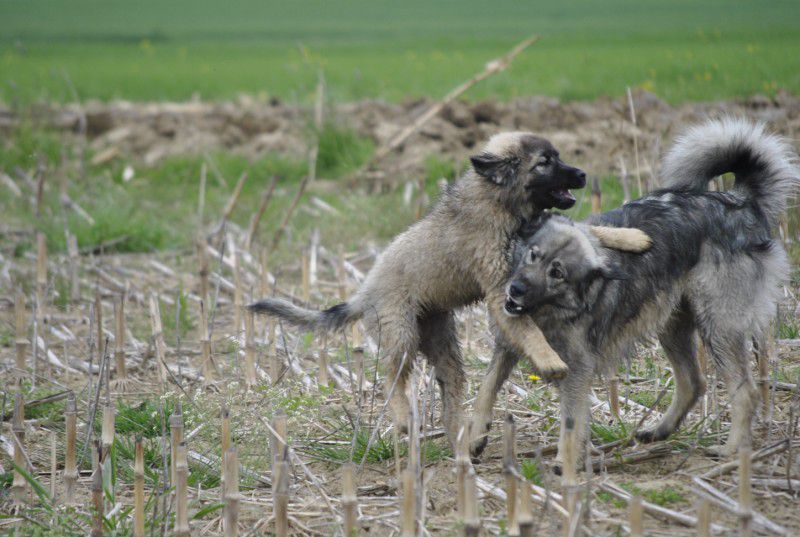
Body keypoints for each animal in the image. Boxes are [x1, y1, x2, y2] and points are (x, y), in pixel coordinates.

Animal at [248, 131, 648, 448]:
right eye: (544, 163)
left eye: (559, 156)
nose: (582, 174)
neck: (500, 202)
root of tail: (362, 294)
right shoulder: (500, 287)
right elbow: (528, 329)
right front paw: (549, 359)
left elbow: (590, 230)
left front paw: (633, 237)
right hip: (400, 331)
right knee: (392, 378)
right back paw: (405, 419)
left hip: (441, 339)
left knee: (450, 384)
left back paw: (459, 435)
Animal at [504, 116, 796, 464]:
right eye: (532, 256)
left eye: (557, 272)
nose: (515, 289)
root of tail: (740, 203)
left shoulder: (578, 368)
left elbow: (572, 423)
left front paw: (564, 464)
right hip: (673, 323)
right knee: (693, 382)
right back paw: (659, 431)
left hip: (718, 327)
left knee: (746, 391)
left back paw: (730, 450)